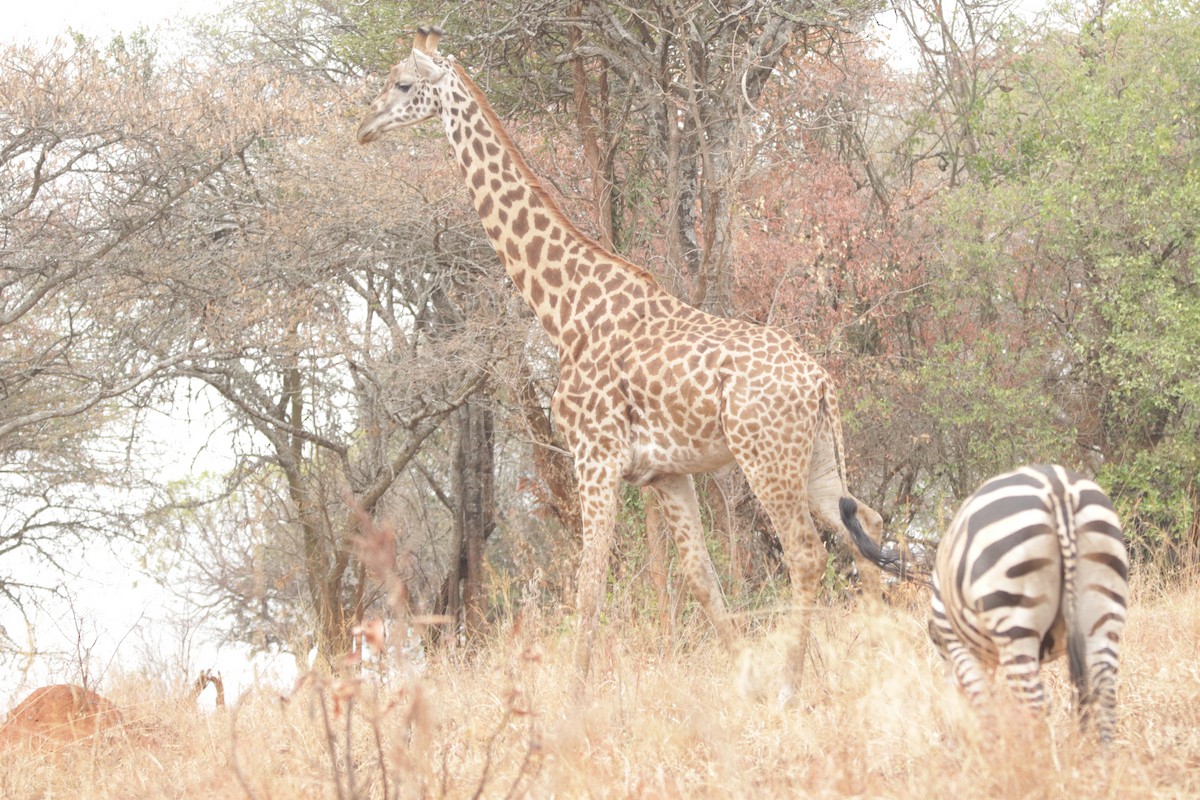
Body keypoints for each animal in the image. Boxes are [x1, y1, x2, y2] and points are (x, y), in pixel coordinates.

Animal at [357, 27, 897, 694]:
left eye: (402, 83)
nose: (364, 128)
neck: (564, 310)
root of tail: (821, 381)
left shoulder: (596, 458)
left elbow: (588, 588)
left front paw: (572, 700)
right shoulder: (665, 473)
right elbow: (700, 579)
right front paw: (739, 677)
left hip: (766, 457)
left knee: (806, 552)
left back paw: (792, 686)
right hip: (818, 455)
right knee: (865, 523)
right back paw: (880, 661)